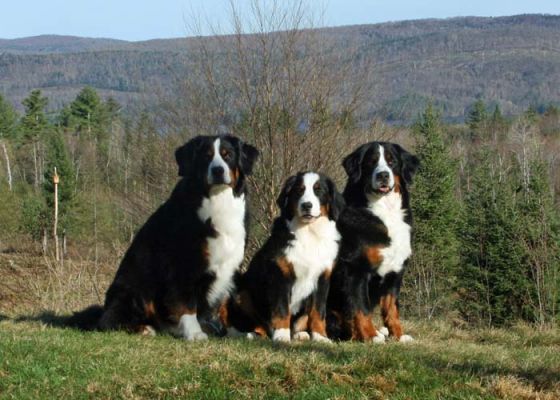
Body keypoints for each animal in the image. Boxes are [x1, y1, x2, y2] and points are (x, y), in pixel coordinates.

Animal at [225, 170, 344, 342]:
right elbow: (282, 309)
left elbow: (318, 312)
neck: (309, 233)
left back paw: (300, 334)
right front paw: (282, 335)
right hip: (242, 293)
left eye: (319, 190)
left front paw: (320, 337)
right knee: (255, 325)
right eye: (299, 190)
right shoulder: (280, 275)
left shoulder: (322, 278)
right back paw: (250, 335)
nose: (306, 205)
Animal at [328, 142, 420, 342]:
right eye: (371, 162)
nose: (383, 175)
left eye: (392, 162)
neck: (385, 212)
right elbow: (360, 307)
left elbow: (392, 309)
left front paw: (398, 335)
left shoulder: (395, 272)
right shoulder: (356, 269)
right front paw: (369, 336)